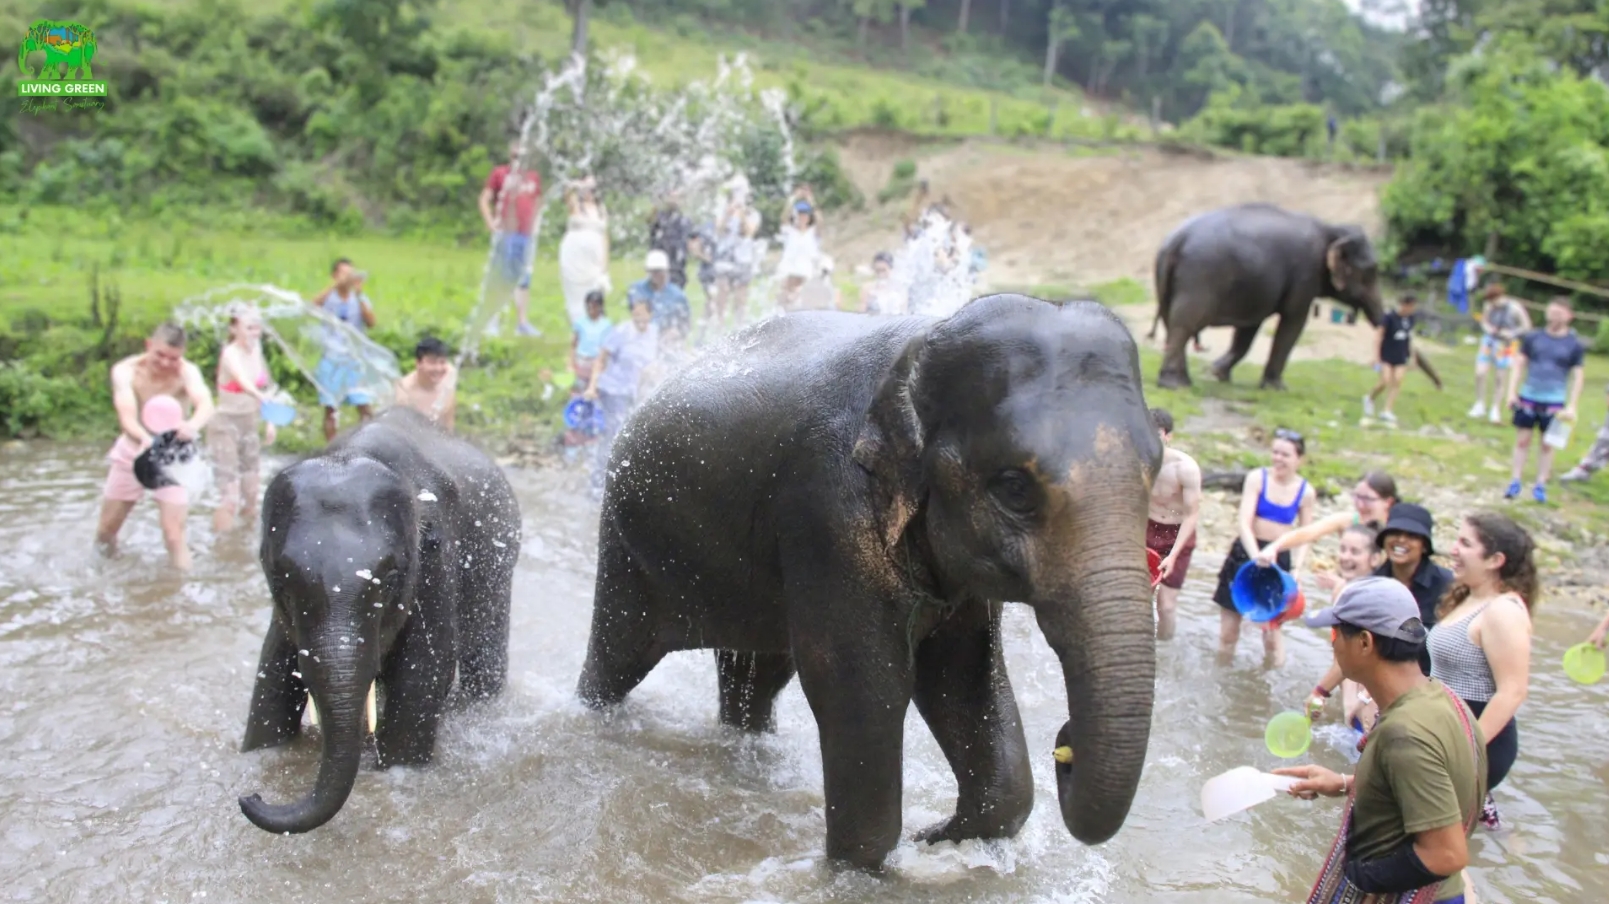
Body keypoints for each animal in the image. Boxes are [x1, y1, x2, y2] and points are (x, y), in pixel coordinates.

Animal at [238, 407, 520, 834]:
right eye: (281, 583)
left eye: (388, 581)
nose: (251, 796)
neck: (355, 453)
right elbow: (273, 670)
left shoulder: (434, 558)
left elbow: (422, 671)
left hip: (499, 568)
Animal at [576, 294, 1162, 869]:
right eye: (1015, 487)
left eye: (1154, 475)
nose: (1065, 745)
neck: (923, 345)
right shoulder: (827, 509)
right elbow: (862, 684)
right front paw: (864, 869)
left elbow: (963, 675)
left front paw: (947, 840)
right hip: (627, 544)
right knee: (617, 659)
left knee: (757, 679)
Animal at [1153, 203, 1385, 390]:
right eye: (1371, 272)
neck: (1330, 229)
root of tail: (1177, 240)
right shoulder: (1305, 274)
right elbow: (1294, 322)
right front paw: (1277, 388)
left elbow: (1249, 329)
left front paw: (1217, 374)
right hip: (1199, 277)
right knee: (1185, 324)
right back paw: (1175, 384)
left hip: (1167, 278)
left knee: (1171, 320)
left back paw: (1182, 380)